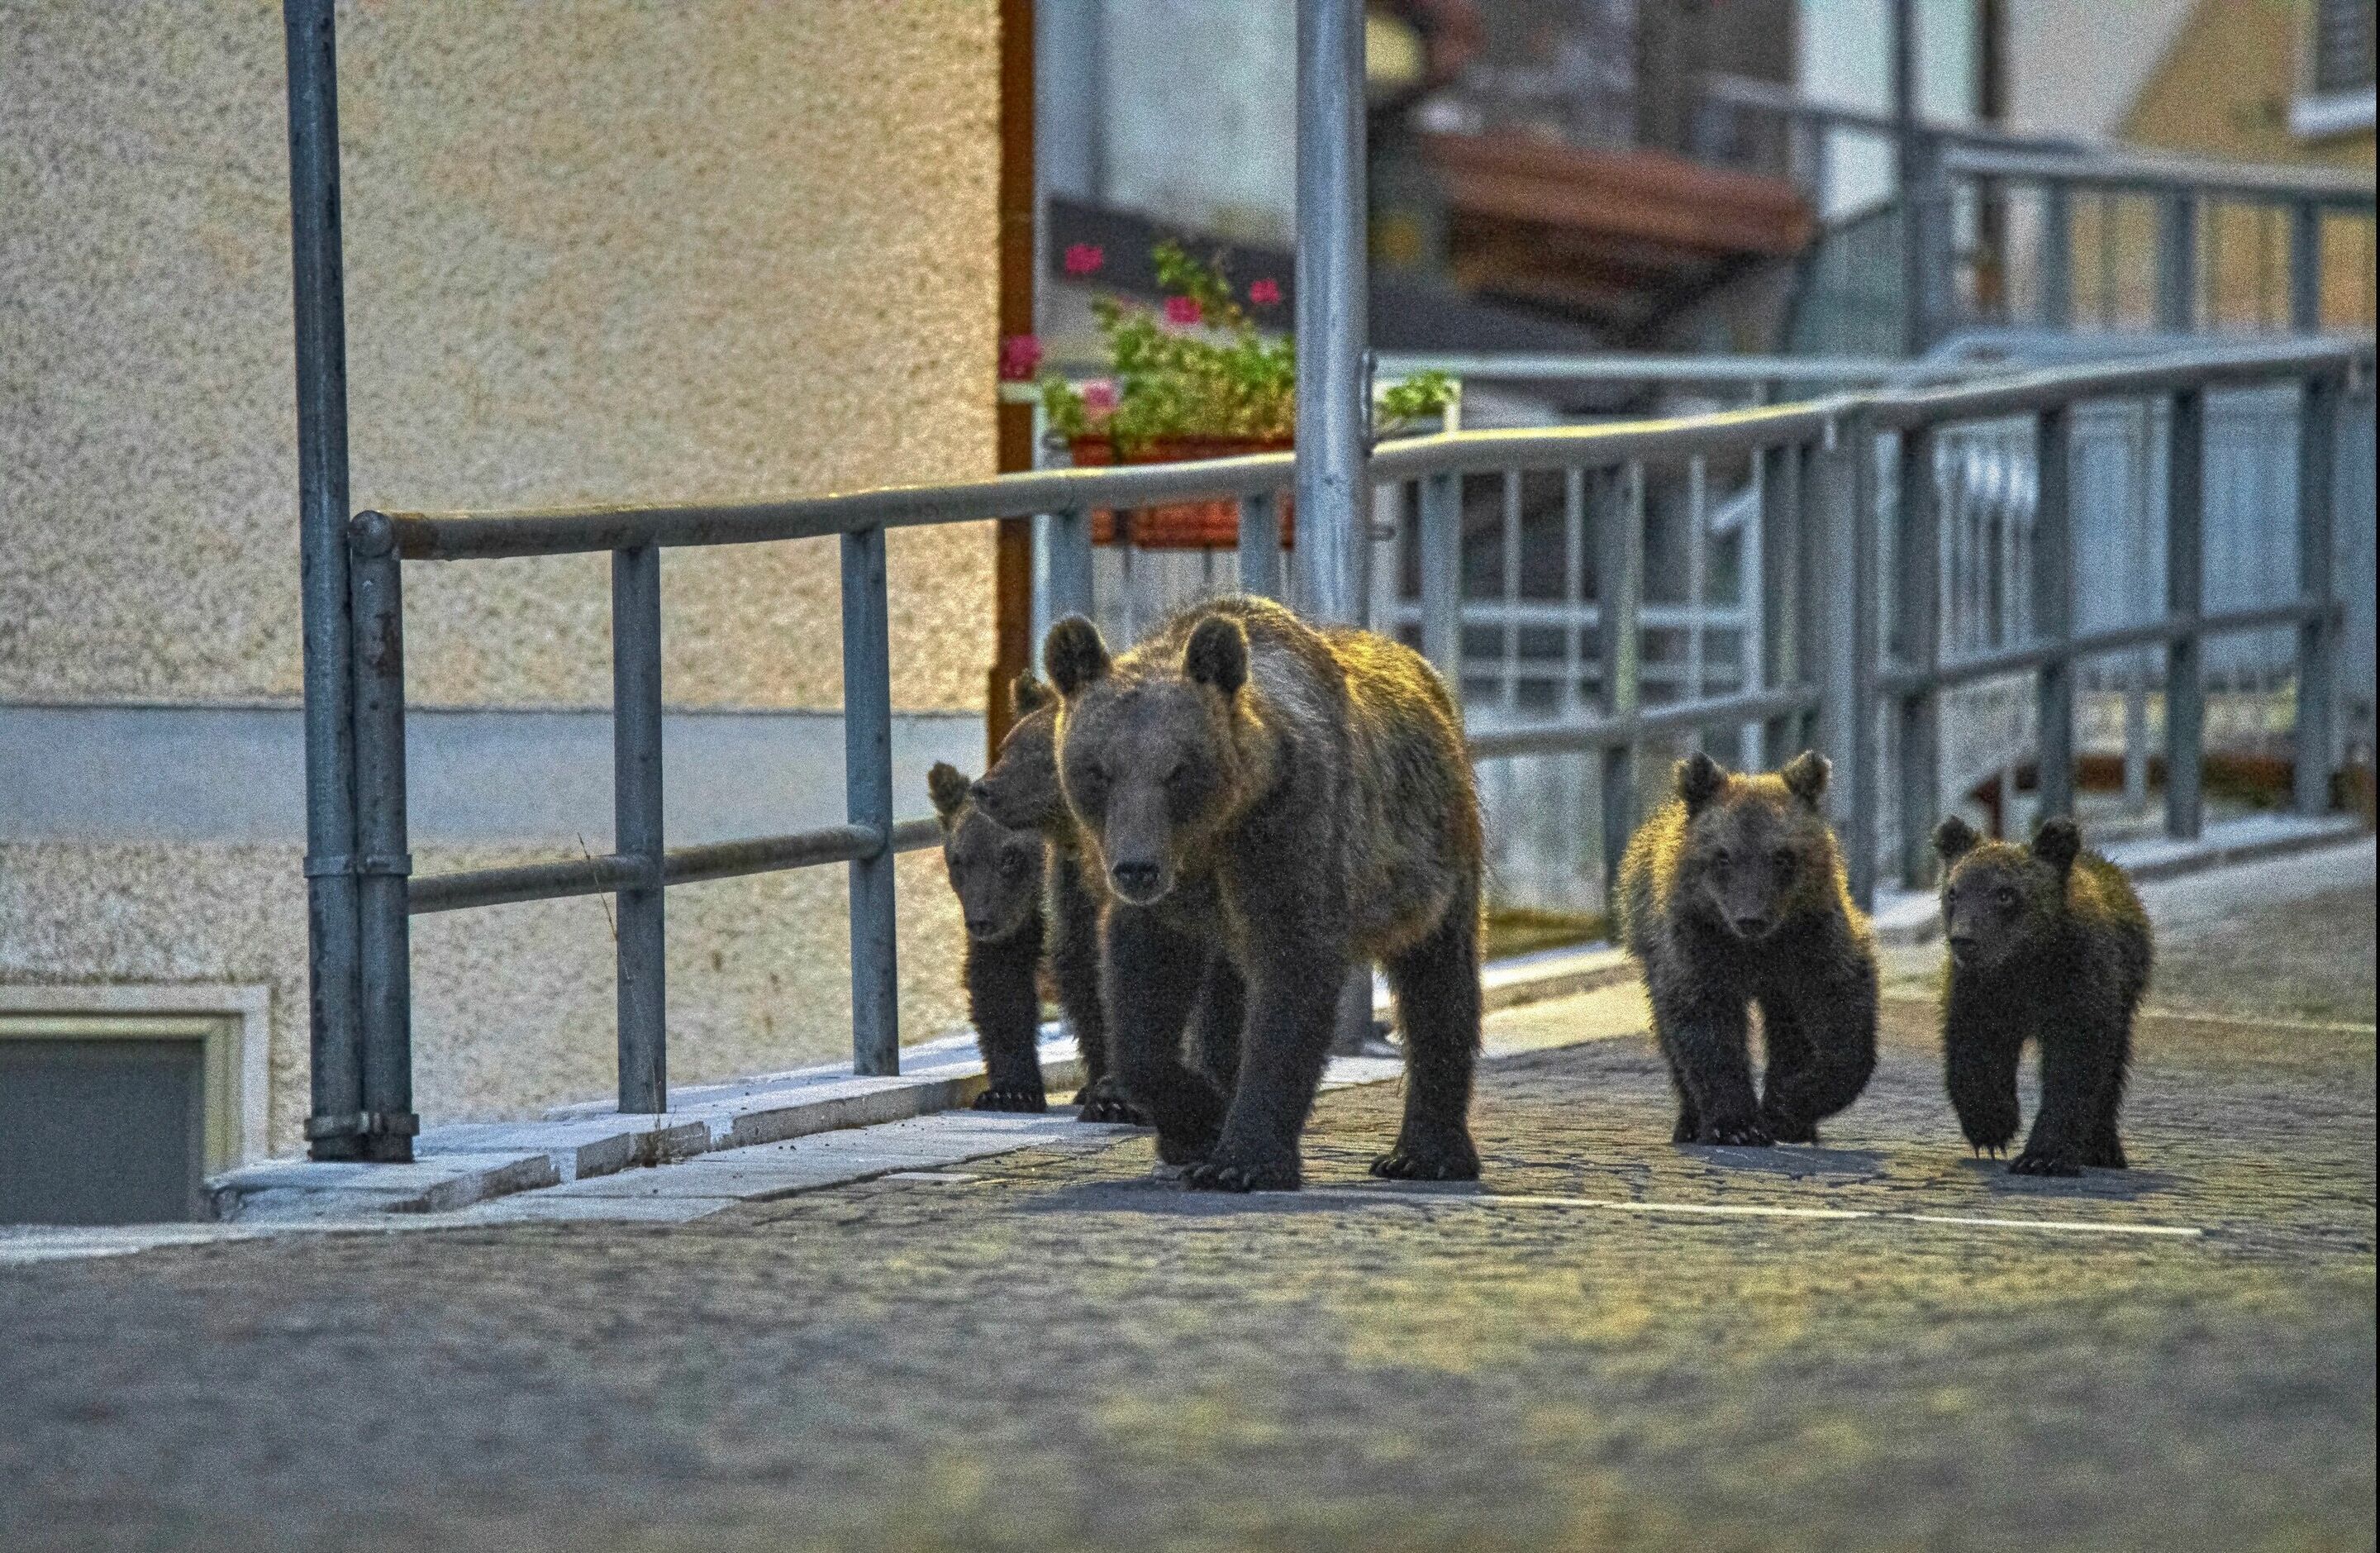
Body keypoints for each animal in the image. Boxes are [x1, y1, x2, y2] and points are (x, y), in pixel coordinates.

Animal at [1041, 594, 1484, 1193]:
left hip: (1435, 852)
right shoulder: (1172, 892)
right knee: (1223, 999)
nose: (1135, 869)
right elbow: (1140, 1008)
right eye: (1097, 770)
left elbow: (1292, 979)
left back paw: (1425, 1154)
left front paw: (1241, 1159)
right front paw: (1197, 1121)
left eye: (1177, 769)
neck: (1215, 830)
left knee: (1439, 979)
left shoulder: (1289, 831)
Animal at [1616, 750, 1879, 1147]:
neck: (1755, 950)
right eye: (1723, 856)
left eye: (1783, 856)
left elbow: (1842, 1010)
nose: (1750, 918)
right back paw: (1690, 1121)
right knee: (1667, 1031)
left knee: (1788, 1029)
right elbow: (1705, 1025)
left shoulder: (1811, 939)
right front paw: (1736, 1124)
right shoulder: (1698, 942)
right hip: (1650, 944)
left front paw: (1789, 1103)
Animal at [1932, 814, 2152, 1176]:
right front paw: (1992, 1126)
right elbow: (1975, 1049)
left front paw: (2042, 1156)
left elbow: (2075, 1064)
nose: (1964, 939)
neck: (2025, 963)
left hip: (2125, 993)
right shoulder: (1980, 989)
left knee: (2113, 1067)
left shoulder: (2078, 984)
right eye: (1953, 892)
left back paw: (2104, 1148)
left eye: (2005, 894)